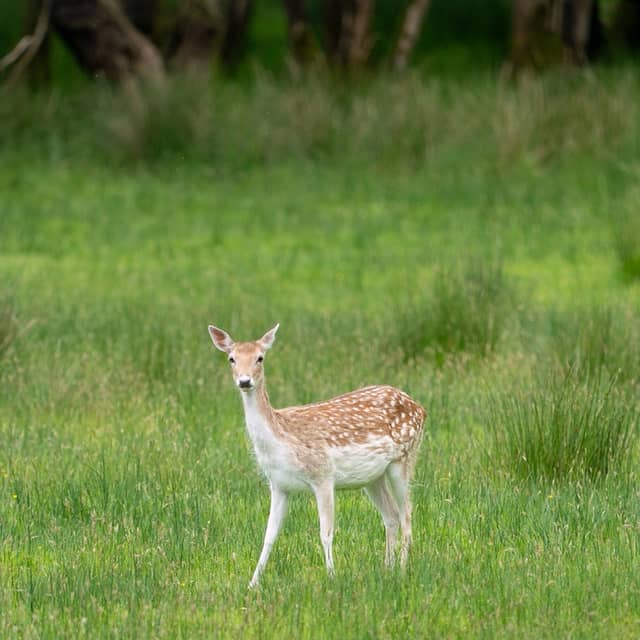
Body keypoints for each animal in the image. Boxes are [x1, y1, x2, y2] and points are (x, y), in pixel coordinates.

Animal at [208, 323, 426, 588]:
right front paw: (252, 584)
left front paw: (331, 577)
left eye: (260, 357)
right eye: (232, 358)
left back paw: (402, 571)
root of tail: (420, 408)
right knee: (392, 515)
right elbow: (269, 536)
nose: (244, 381)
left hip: (404, 458)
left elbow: (326, 532)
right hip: (373, 477)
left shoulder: (322, 474)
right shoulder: (278, 484)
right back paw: (387, 569)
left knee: (407, 516)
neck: (281, 440)